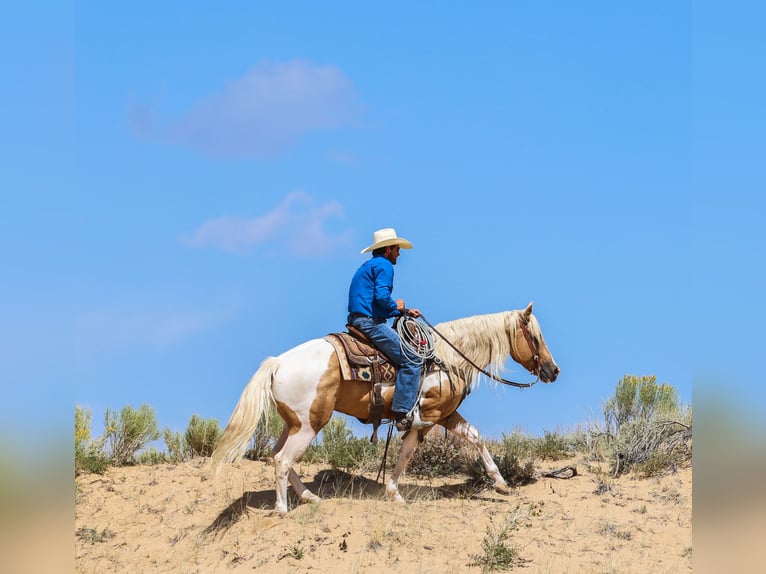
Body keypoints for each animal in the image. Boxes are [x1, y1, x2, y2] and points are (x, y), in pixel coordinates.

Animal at [210, 302, 559, 515]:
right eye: (535, 337)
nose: (553, 371)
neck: (448, 358)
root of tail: (278, 362)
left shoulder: (446, 415)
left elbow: (475, 437)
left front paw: (500, 483)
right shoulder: (425, 418)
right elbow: (405, 454)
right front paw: (394, 492)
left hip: (294, 424)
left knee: (277, 455)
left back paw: (309, 497)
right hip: (310, 424)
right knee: (283, 460)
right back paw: (283, 509)